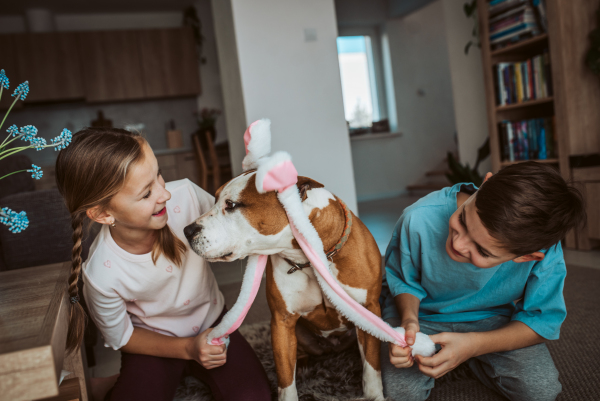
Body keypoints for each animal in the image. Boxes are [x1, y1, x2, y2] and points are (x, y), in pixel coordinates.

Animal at [185, 172, 386, 400]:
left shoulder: (368, 310)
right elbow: (285, 379)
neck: (309, 258)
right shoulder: (282, 321)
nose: (187, 230)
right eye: (215, 200)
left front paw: (374, 396)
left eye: (232, 204)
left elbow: (371, 368)